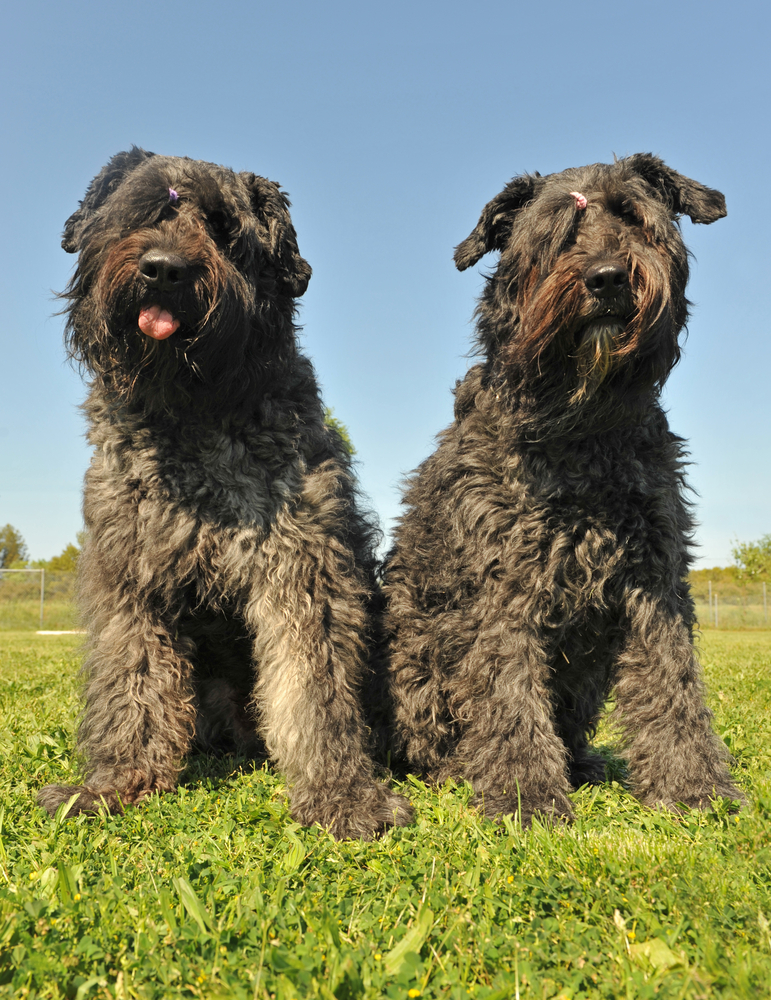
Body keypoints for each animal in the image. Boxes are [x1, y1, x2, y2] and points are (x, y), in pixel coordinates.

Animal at [40, 145, 416, 840]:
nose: (164, 270)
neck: (191, 413)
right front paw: (114, 784)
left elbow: (314, 688)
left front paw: (343, 798)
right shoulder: (131, 575)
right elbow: (131, 678)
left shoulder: (303, 566)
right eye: (146, 209)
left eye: (222, 227)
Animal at [386, 154, 748, 828]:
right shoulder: (502, 586)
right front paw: (524, 797)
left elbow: (672, 683)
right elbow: (507, 695)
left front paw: (693, 788)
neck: (583, 429)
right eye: (556, 234)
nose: (607, 278)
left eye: (632, 216)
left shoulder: (653, 579)